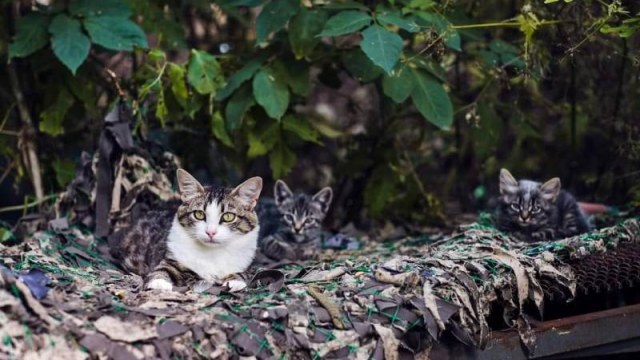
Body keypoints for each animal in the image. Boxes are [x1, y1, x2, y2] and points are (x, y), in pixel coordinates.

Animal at [110, 170, 262, 292]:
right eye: (199, 214)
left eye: (228, 217)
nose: (210, 232)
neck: (212, 253)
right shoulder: (171, 259)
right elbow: (162, 269)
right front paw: (158, 282)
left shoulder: (248, 262)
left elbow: (244, 272)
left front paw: (236, 280)